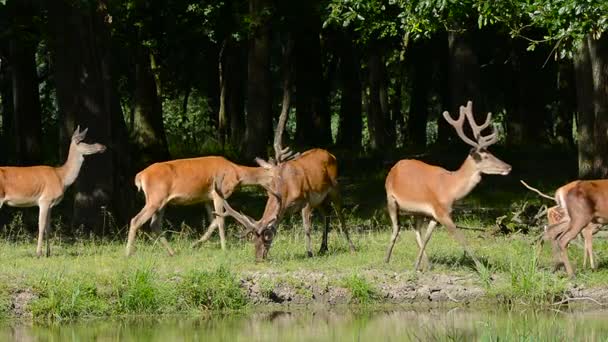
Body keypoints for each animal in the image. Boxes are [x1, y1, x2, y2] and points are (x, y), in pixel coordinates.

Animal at [0, 127, 105, 258]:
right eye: (86, 141)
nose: (103, 146)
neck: (62, 177)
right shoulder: (45, 200)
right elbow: (41, 226)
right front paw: (38, 253)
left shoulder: (51, 204)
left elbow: (48, 227)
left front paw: (48, 252)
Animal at [124, 156, 270, 255]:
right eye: (273, 177)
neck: (236, 173)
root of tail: (140, 175)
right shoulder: (219, 193)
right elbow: (221, 221)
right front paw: (224, 248)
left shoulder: (206, 198)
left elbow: (213, 220)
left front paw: (197, 244)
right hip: (155, 198)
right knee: (136, 220)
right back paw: (128, 253)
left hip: (161, 202)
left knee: (155, 224)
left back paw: (172, 252)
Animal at [388, 100, 510, 272]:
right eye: (485, 156)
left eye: (492, 154)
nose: (508, 167)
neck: (451, 189)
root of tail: (394, 167)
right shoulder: (441, 211)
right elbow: (461, 238)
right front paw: (482, 268)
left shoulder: (436, 213)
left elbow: (427, 238)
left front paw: (417, 265)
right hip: (390, 198)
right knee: (396, 228)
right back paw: (386, 260)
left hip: (416, 211)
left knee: (416, 230)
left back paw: (425, 263)